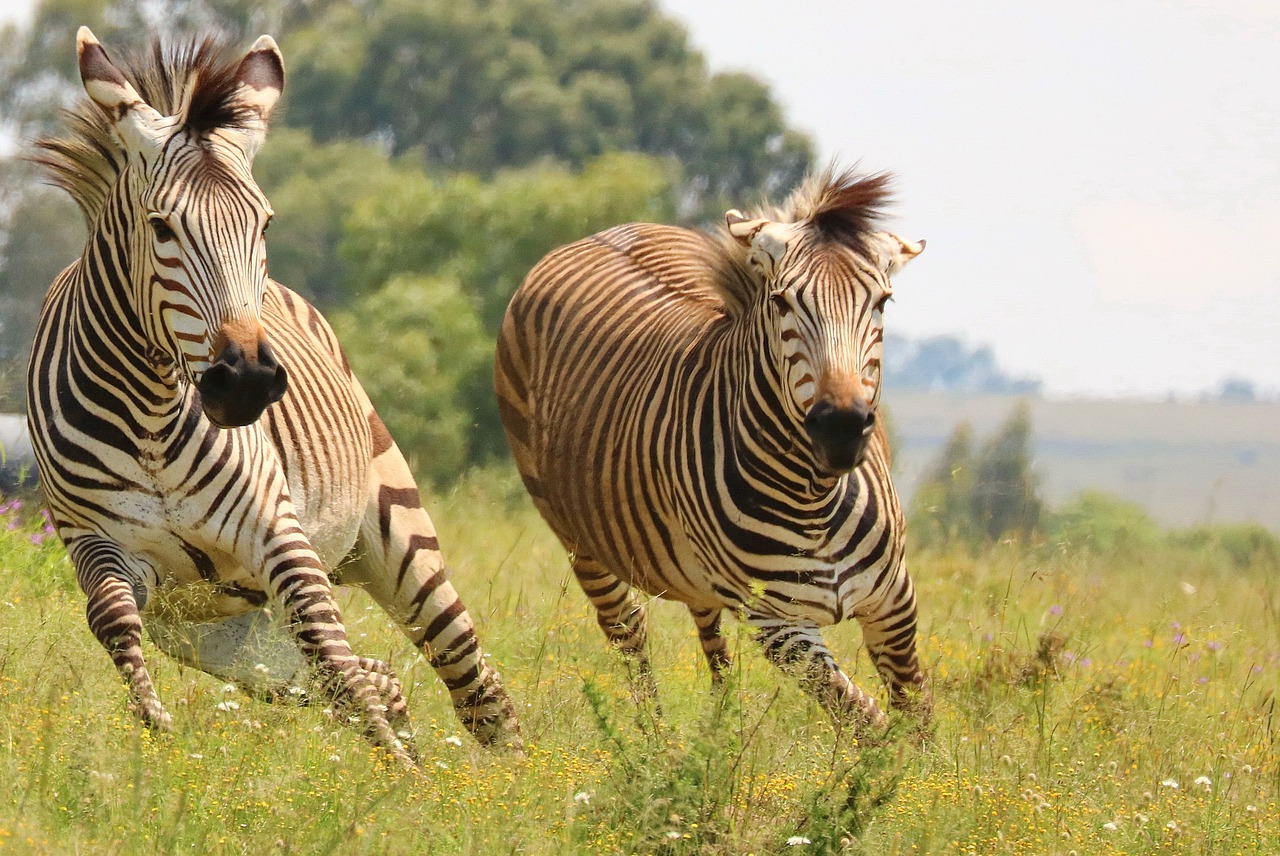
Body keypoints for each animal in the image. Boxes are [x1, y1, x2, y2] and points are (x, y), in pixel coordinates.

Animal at [23, 26, 519, 762]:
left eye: (264, 224)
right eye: (161, 226)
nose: (247, 380)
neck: (149, 414)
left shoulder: (277, 532)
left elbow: (330, 648)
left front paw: (406, 774)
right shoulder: (97, 544)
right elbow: (111, 619)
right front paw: (156, 736)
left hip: (397, 535)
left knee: (468, 678)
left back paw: (506, 780)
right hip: (222, 637)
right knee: (374, 675)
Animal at [496, 170, 931, 731]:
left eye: (881, 303)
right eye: (782, 302)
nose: (842, 429)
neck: (815, 497)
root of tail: (594, 236)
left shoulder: (894, 600)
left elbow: (916, 718)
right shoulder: (780, 624)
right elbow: (868, 722)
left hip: (690, 563)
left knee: (709, 635)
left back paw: (721, 735)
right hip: (578, 539)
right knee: (628, 632)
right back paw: (656, 742)